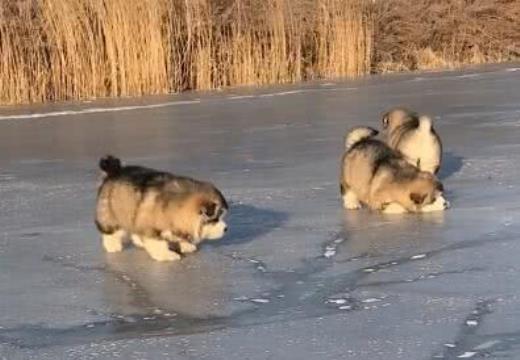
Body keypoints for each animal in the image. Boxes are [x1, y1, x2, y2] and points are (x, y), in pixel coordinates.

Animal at [95, 156, 228, 260]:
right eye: (215, 218)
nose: (226, 229)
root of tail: (114, 172)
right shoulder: (152, 227)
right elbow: (158, 244)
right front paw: (167, 255)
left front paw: (185, 245)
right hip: (110, 214)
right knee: (110, 232)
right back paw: (113, 246)